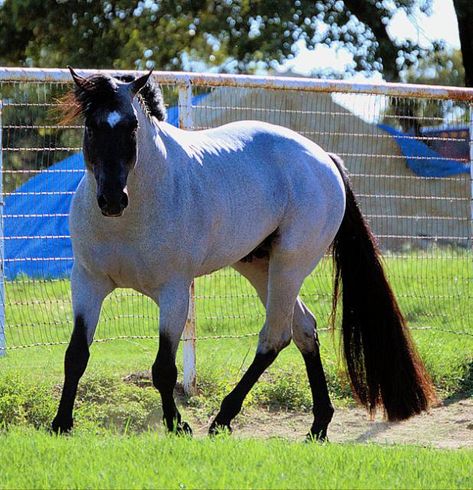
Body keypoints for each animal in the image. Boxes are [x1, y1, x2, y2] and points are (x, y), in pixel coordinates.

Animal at [51, 69, 436, 440]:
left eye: (131, 125)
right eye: (91, 125)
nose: (112, 199)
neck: (131, 217)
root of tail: (324, 159)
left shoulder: (174, 292)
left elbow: (163, 368)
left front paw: (177, 425)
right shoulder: (87, 284)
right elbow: (76, 355)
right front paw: (60, 424)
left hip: (288, 267)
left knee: (275, 336)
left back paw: (223, 419)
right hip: (259, 267)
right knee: (304, 329)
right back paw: (318, 425)